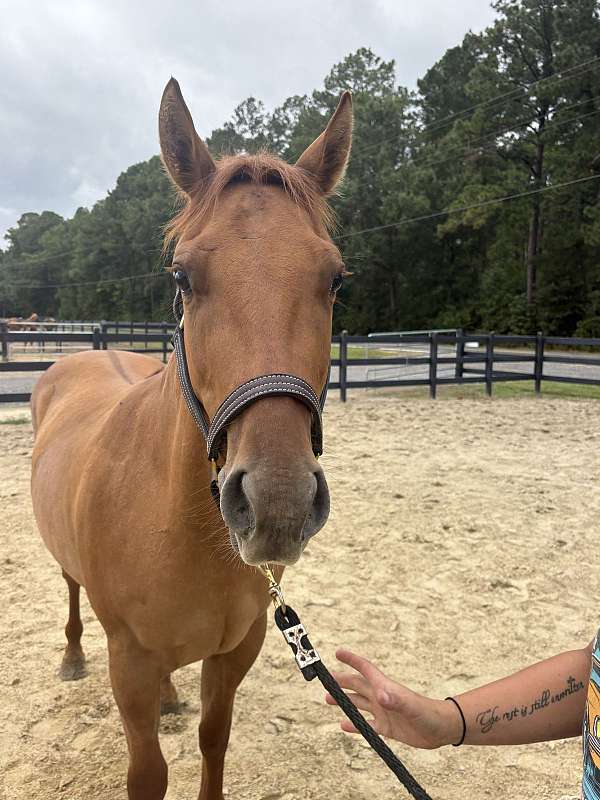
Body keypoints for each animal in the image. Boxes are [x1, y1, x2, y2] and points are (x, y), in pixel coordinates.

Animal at [30, 78, 353, 800]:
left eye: (335, 278)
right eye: (182, 276)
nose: (278, 501)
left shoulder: (237, 649)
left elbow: (213, 739)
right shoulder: (128, 661)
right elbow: (147, 772)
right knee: (69, 590)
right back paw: (70, 657)